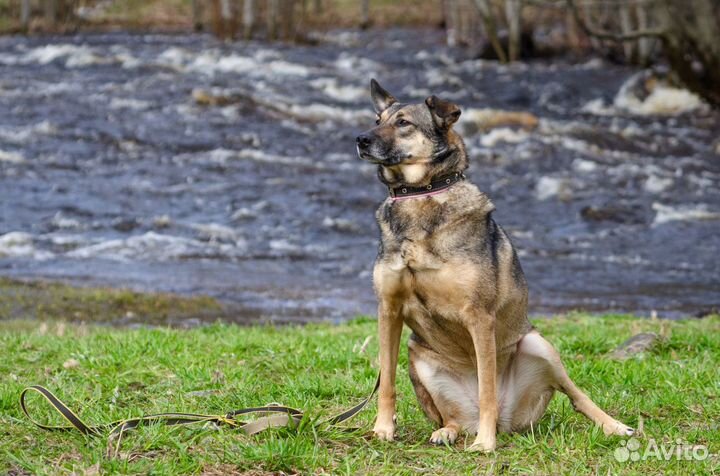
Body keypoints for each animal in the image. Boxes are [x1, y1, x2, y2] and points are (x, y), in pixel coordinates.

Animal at [358, 80, 632, 452]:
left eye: (403, 123)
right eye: (377, 119)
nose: (361, 139)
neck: (420, 194)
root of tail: (507, 423)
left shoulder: (479, 316)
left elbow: (487, 388)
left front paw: (485, 445)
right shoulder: (389, 309)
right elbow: (386, 380)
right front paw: (383, 429)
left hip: (538, 344)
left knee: (575, 396)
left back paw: (613, 427)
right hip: (419, 357)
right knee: (451, 417)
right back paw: (448, 432)